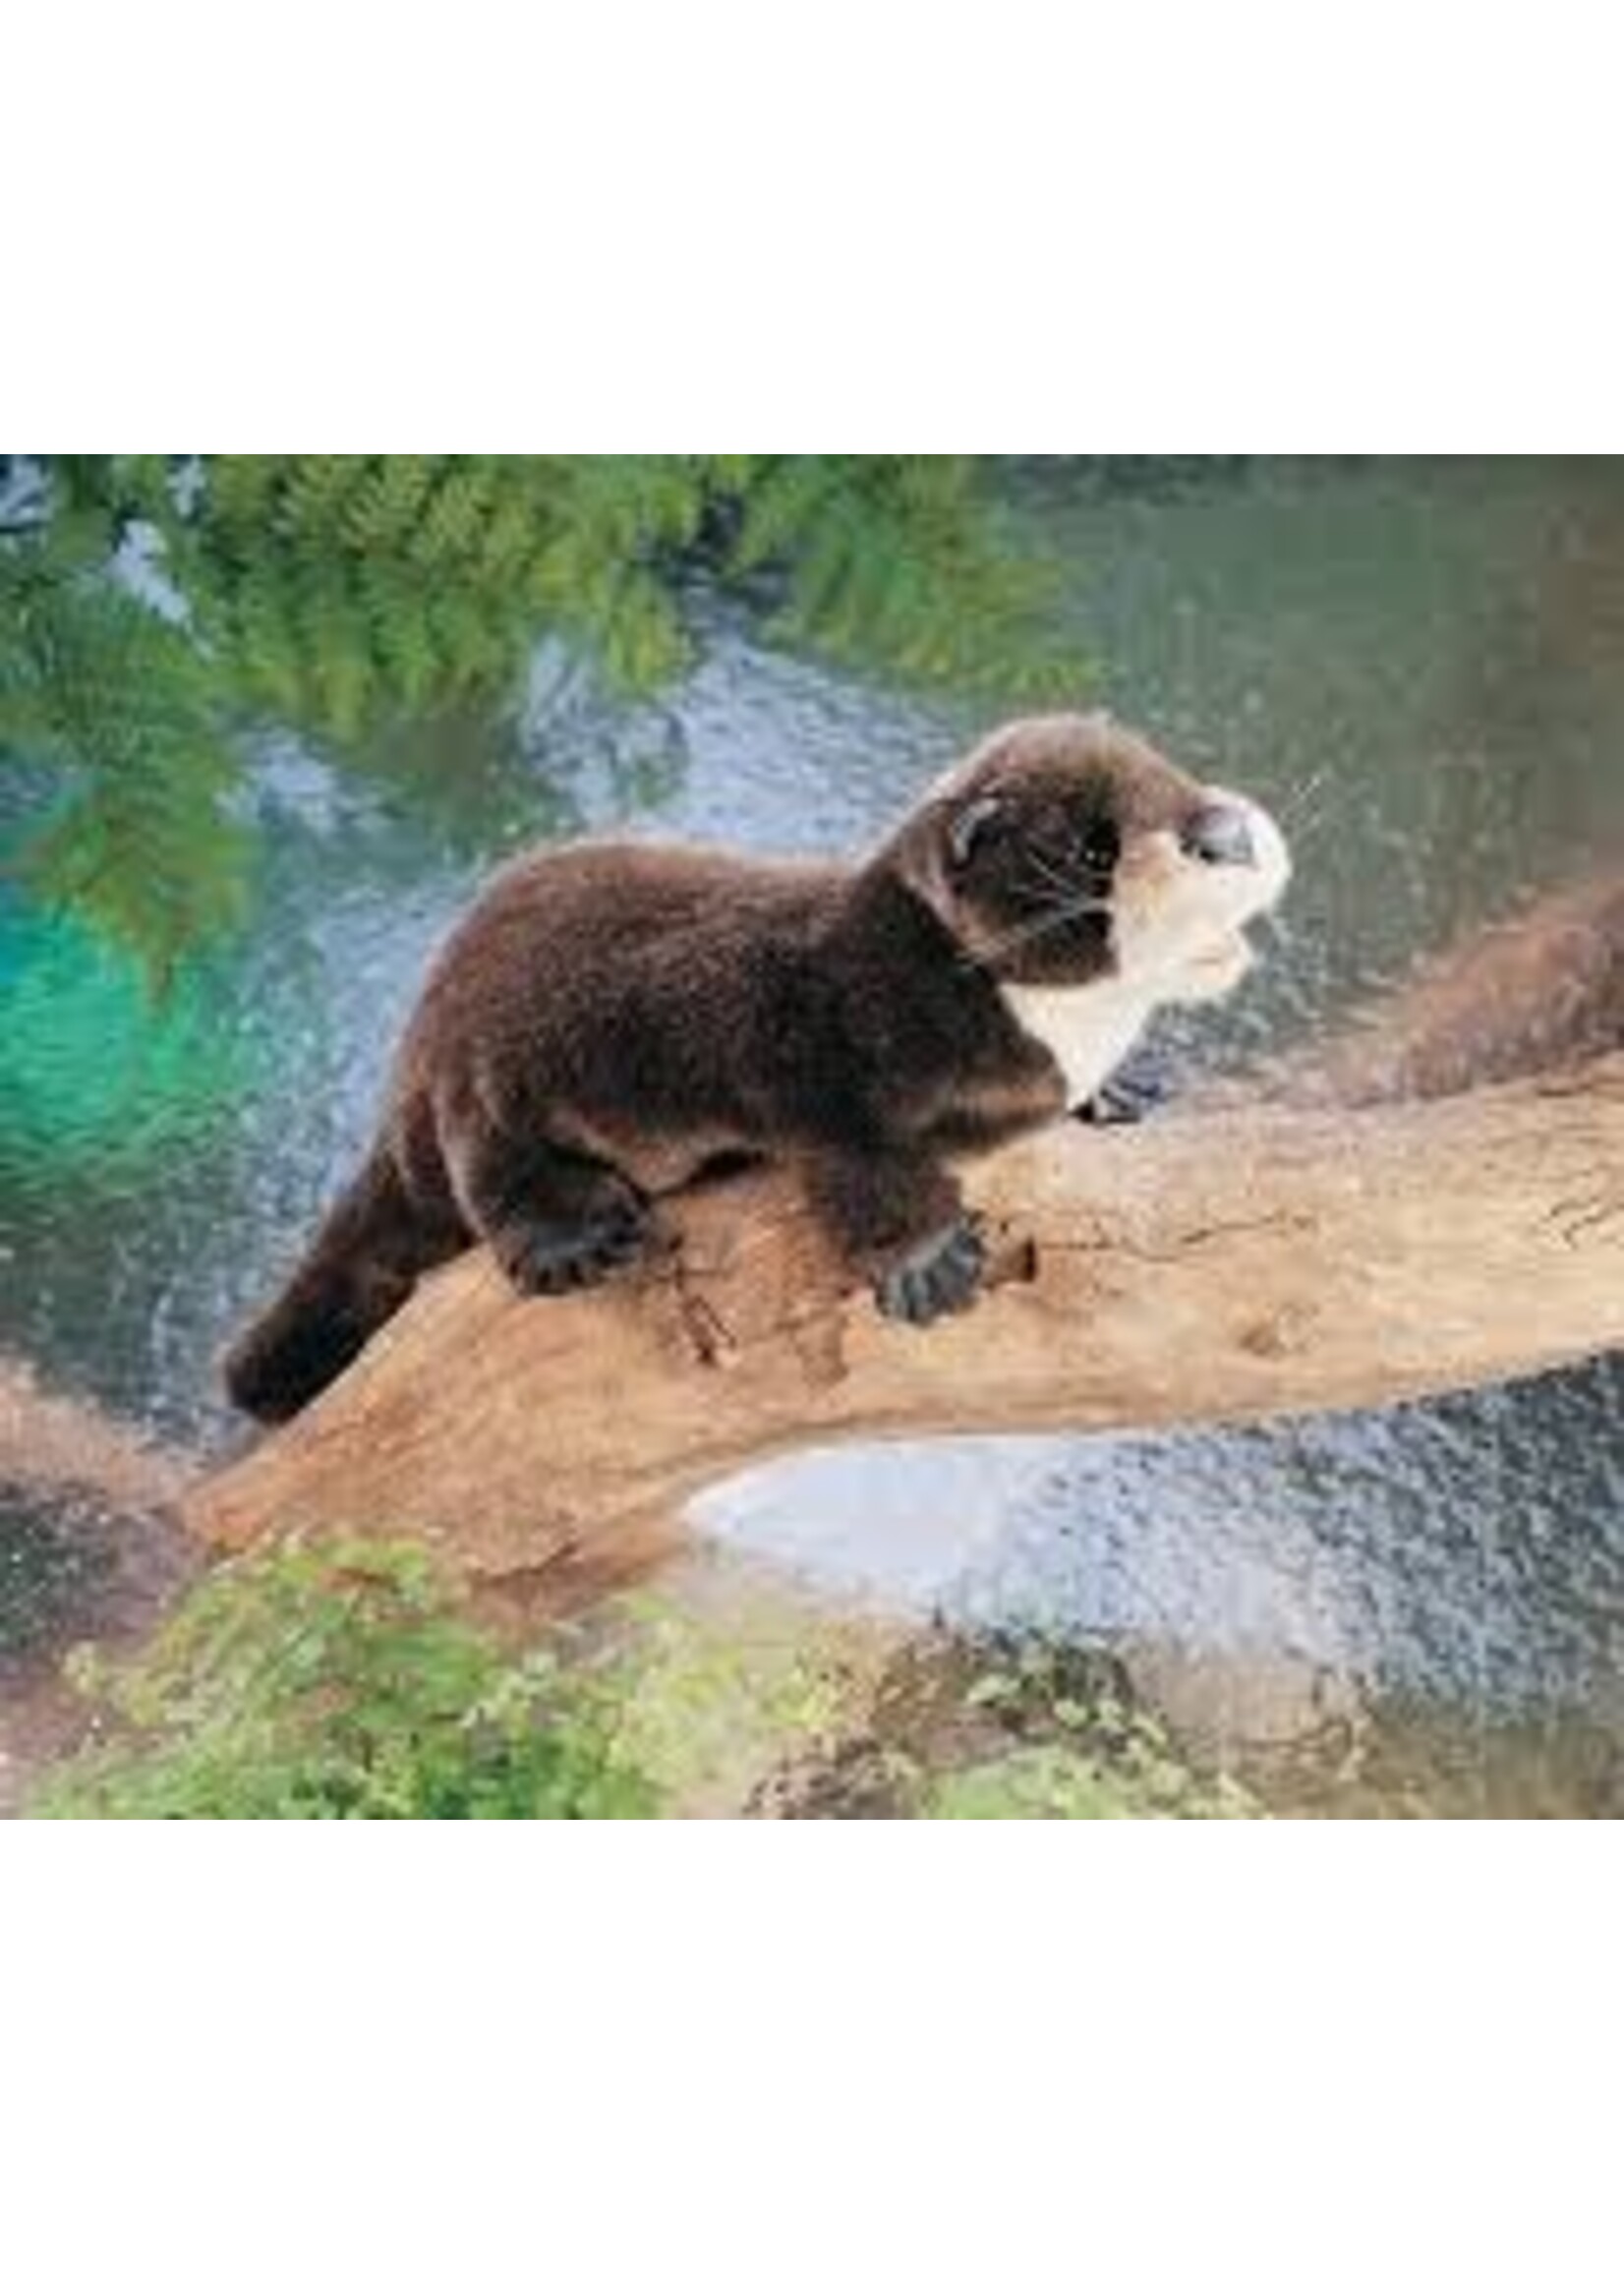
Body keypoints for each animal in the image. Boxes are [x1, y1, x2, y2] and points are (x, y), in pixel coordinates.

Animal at [224, 714, 1289, 1423]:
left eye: (1176, 774)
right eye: (1094, 848)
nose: (1224, 832)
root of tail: (410, 1055)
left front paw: (1114, 1093)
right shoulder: (824, 1054)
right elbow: (859, 1166)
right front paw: (925, 1262)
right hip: (484, 1073)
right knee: (489, 1170)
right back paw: (572, 1238)